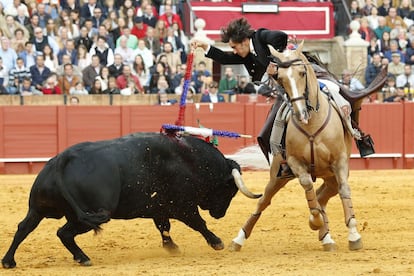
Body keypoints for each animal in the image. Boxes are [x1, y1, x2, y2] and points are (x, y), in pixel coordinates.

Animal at [1, 133, 258, 268]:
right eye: (229, 191)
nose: (220, 214)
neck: (190, 160)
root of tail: (62, 160)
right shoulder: (183, 206)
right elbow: (198, 223)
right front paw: (217, 242)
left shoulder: (159, 207)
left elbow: (164, 227)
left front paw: (171, 247)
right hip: (89, 215)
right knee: (63, 233)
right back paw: (83, 258)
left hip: (38, 208)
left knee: (24, 228)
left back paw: (9, 261)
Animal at [230, 41, 362, 252]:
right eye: (281, 78)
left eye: (302, 73)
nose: (300, 113)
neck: (313, 124)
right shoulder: (295, 162)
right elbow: (308, 188)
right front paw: (316, 223)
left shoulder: (340, 162)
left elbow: (344, 190)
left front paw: (354, 235)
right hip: (277, 175)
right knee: (264, 201)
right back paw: (239, 239)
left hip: (329, 175)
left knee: (324, 194)